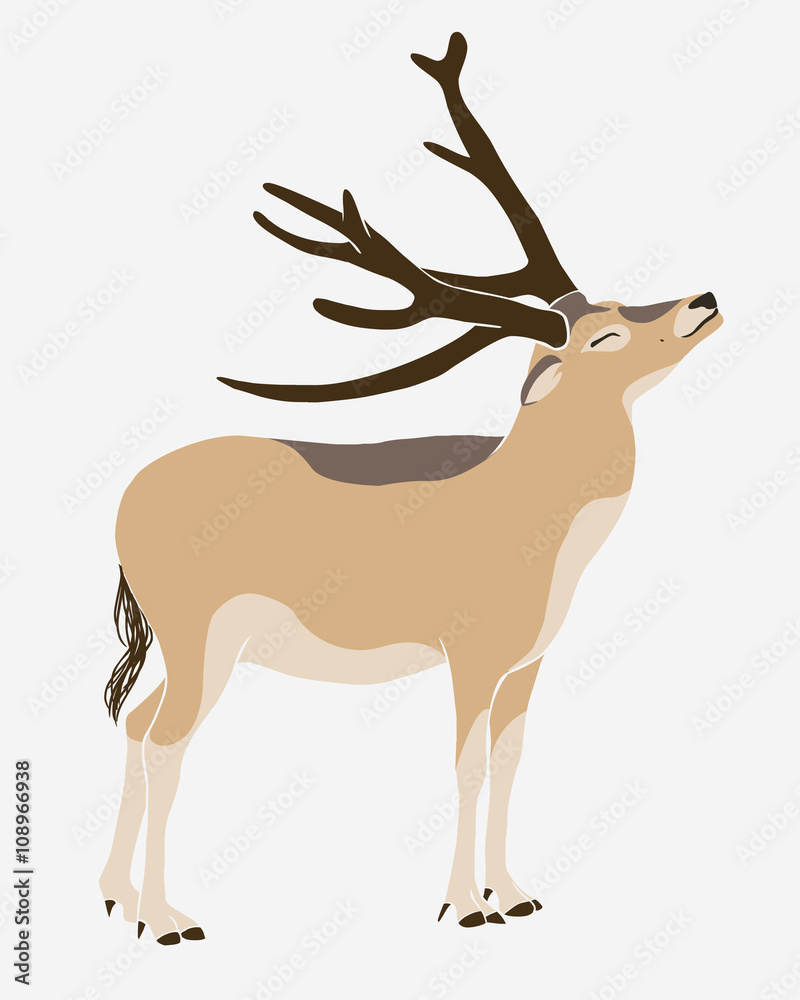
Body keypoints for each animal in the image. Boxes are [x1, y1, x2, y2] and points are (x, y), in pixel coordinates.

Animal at [99, 32, 723, 941]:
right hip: (196, 636)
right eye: (603, 335)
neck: (532, 510)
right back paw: (169, 919)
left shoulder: (529, 660)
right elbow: (464, 765)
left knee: (137, 722)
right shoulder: (470, 651)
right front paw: (465, 909)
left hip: (194, 648)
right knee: (164, 740)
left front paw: (518, 895)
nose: (704, 299)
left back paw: (115, 898)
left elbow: (510, 759)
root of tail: (124, 503)